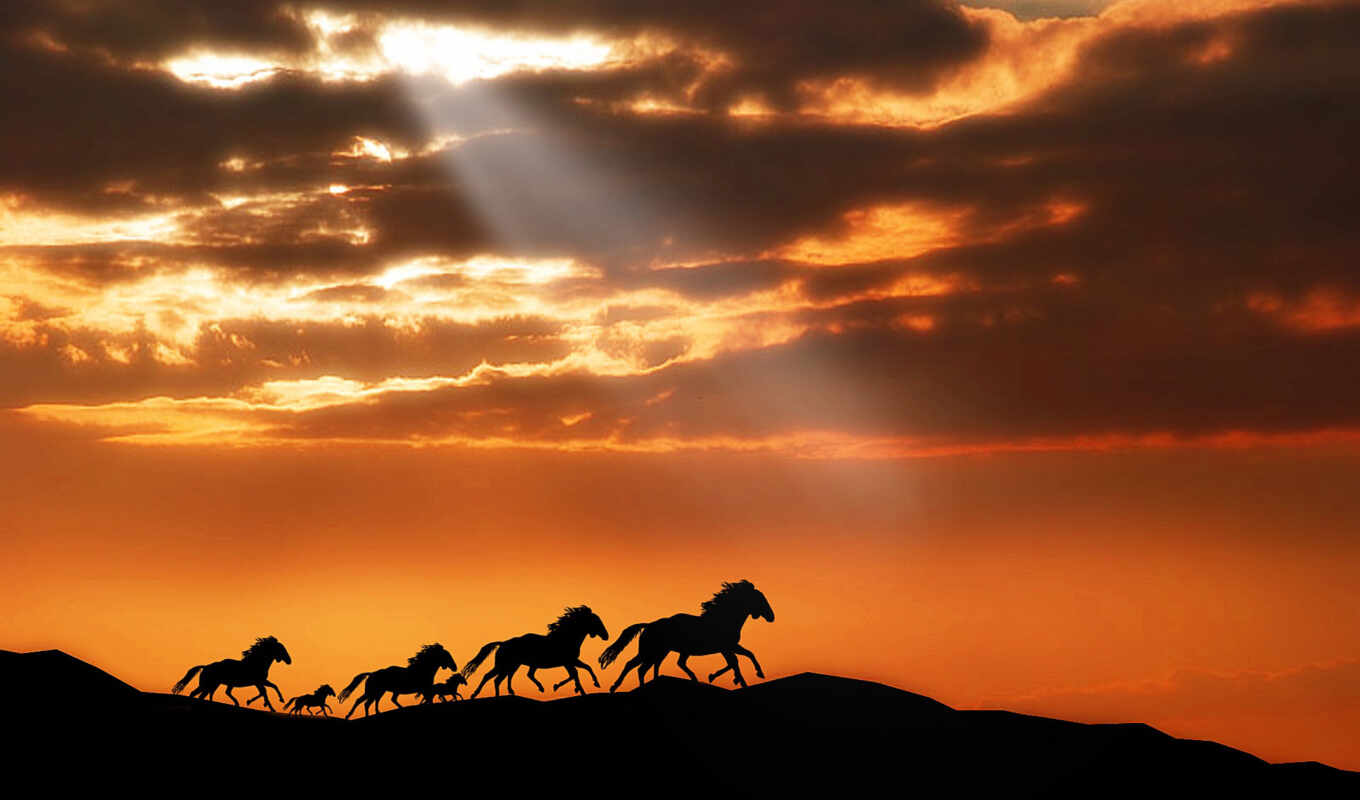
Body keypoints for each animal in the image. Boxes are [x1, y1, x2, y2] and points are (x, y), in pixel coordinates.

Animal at [465, 604, 609, 696]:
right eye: (596, 621)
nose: (606, 636)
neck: (566, 637)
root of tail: (503, 643)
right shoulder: (568, 662)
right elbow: (575, 674)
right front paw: (578, 689)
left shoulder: (571, 661)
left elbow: (585, 668)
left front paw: (591, 685)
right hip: (505, 665)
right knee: (492, 677)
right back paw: (477, 694)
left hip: (513, 665)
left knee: (502, 678)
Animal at [598, 576, 772, 691]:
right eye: (760, 599)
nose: (771, 617)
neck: (723, 618)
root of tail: (649, 625)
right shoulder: (726, 647)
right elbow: (735, 662)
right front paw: (739, 680)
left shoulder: (729, 647)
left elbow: (746, 655)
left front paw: (753, 675)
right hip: (652, 651)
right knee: (638, 667)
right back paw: (620, 687)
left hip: (661, 652)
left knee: (647, 666)